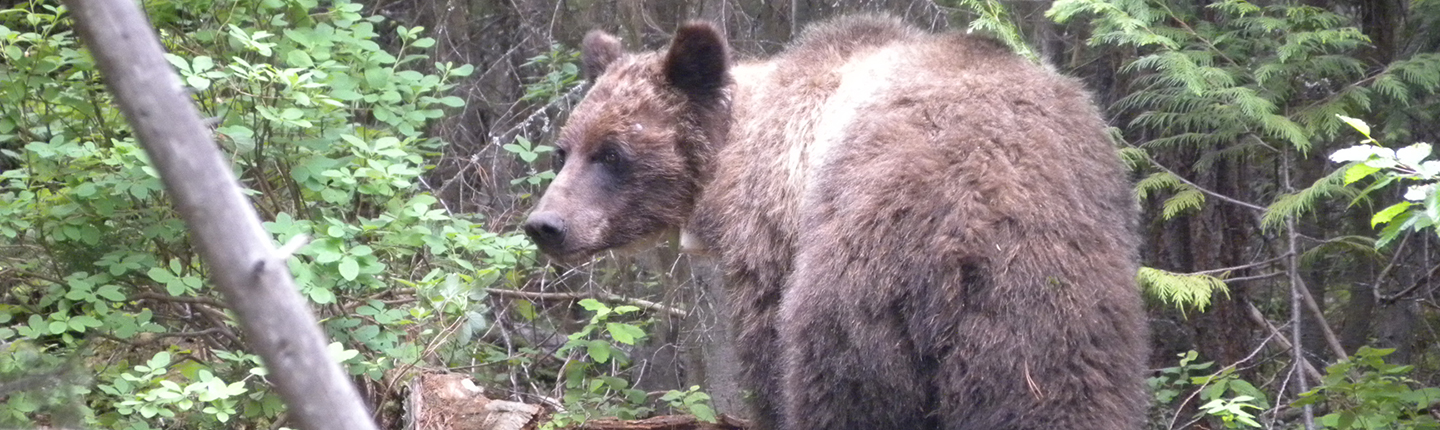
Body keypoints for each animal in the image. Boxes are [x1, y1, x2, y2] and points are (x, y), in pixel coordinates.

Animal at [522, 14, 1149, 430]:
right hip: (1063, 309)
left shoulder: (774, 236)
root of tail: (970, 222)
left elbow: (766, 352)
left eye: (612, 154)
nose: (545, 224)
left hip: (861, 288)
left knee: (842, 391)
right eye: (564, 150)